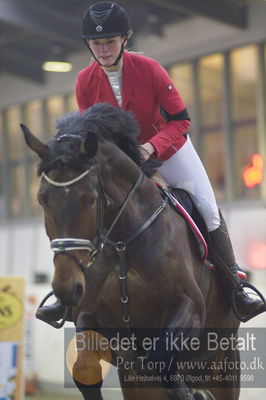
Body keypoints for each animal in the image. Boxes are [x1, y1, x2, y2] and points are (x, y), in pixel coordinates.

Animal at [21, 104, 241, 400]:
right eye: (42, 199)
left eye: (90, 199)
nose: (67, 288)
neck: (122, 243)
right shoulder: (90, 318)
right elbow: (85, 368)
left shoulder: (190, 306)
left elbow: (162, 361)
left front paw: (191, 394)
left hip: (223, 364)